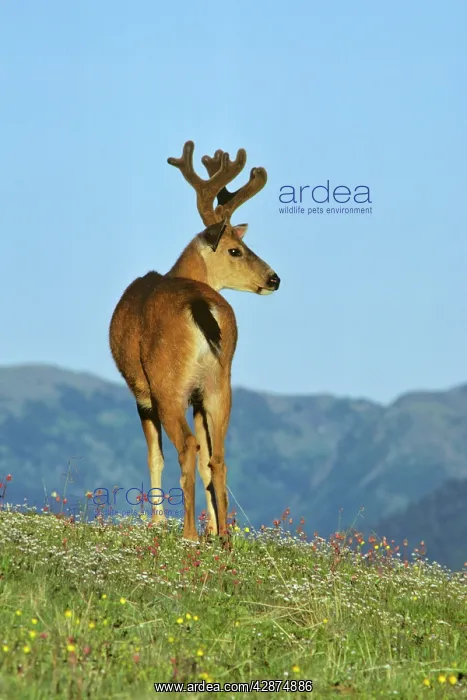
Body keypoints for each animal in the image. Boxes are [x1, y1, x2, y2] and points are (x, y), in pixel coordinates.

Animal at [109, 140, 280, 543]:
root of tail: (200, 305)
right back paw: (225, 539)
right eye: (236, 249)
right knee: (217, 456)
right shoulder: (200, 397)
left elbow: (154, 455)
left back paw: (187, 533)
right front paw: (214, 528)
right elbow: (206, 460)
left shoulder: (142, 393)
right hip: (220, 382)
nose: (274, 278)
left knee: (187, 446)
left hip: (168, 383)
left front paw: (156, 523)